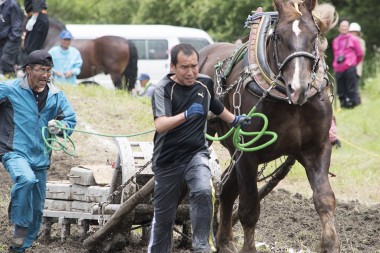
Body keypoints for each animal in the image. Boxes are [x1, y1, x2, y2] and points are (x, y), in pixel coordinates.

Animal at [200, 0, 340, 253]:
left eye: (314, 35)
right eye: (279, 36)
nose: (299, 88)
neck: (288, 101)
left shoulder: (317, 147)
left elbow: (324, 199)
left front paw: (329, 244)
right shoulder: (247, 153)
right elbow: (249, 208)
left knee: (226, 189)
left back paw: (224, 241)